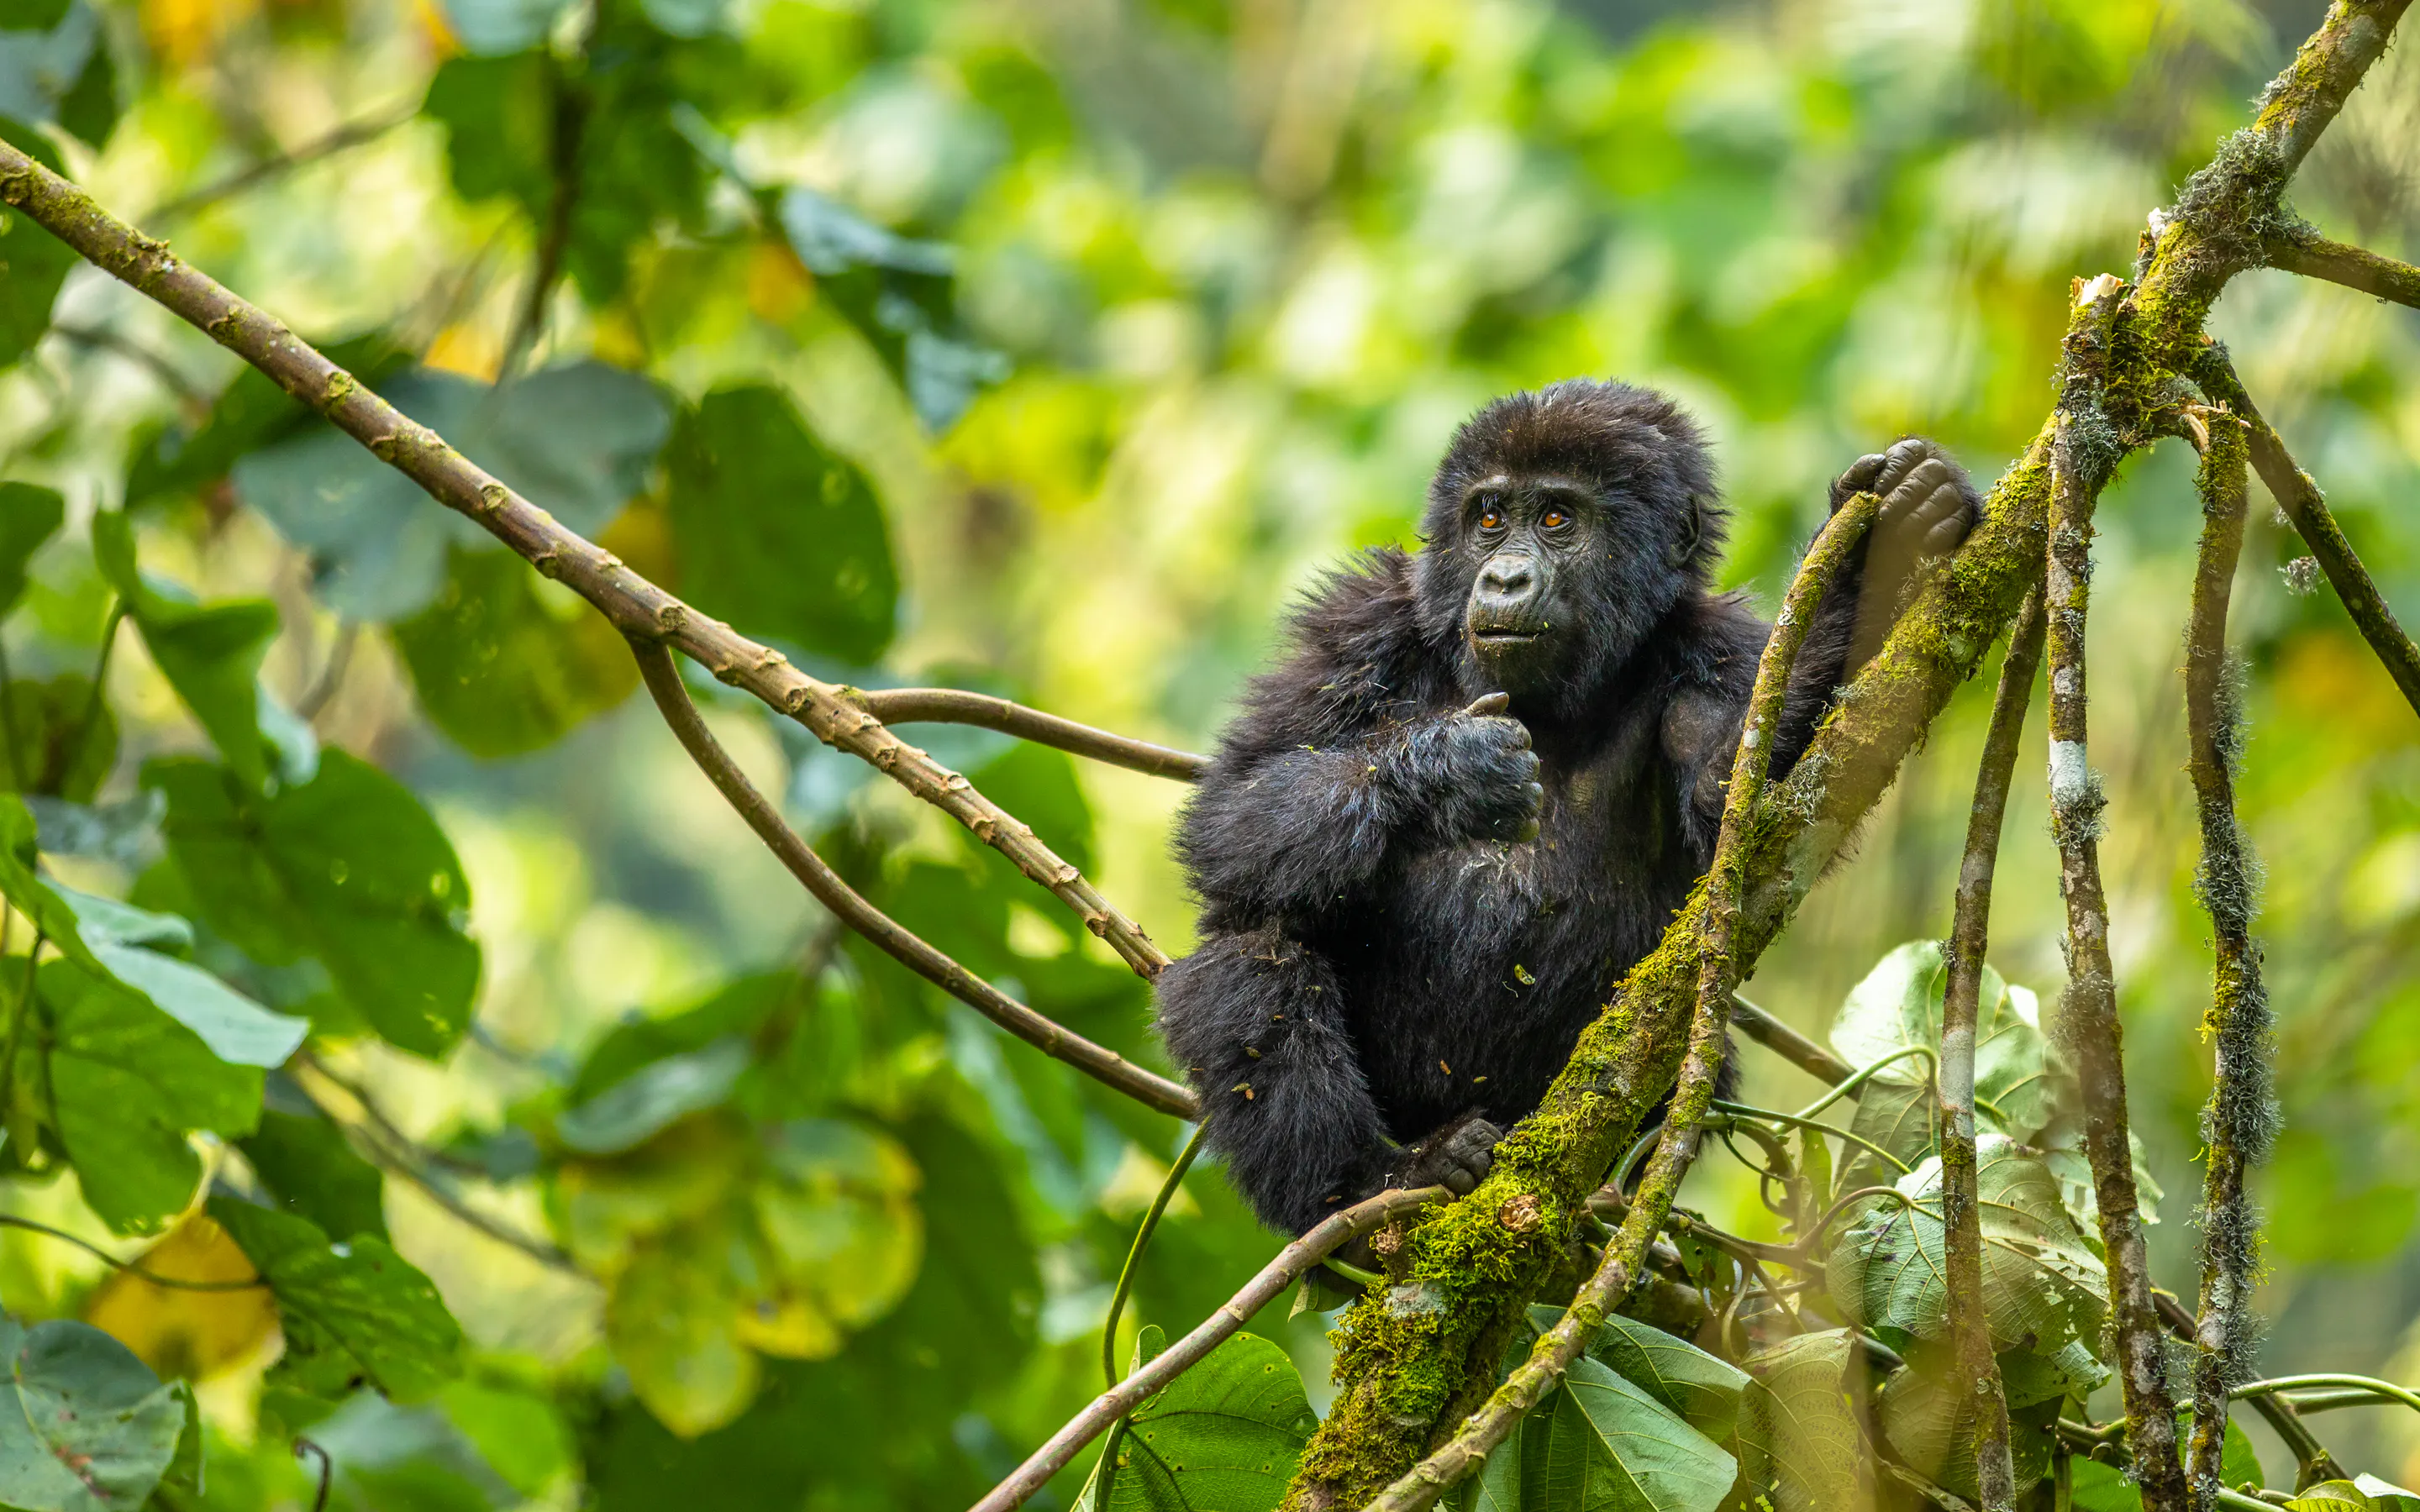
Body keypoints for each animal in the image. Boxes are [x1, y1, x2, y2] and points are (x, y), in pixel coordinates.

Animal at [1153, 379, 1981, 1235]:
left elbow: (1746, 809)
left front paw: (1870, 562)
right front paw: (1452, 770)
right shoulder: (1357, 626)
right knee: (1252, 944)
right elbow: (1235, 809)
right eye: (1489, 518)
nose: (1505, 579)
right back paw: (1373, 1181)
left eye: (1557, 519)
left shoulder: (1720, 649)